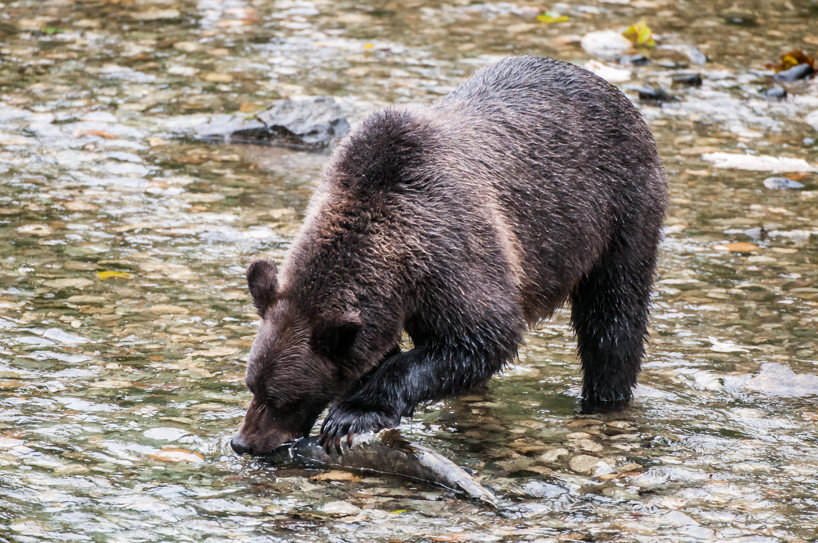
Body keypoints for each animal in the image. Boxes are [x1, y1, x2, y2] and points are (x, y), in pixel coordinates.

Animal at [230, 56, 667, 456]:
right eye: (252, 384)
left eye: (284, 397)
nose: (243, 442)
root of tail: (612, 91)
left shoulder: (454, 249)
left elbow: (485, 334)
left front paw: (351, 416)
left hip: (619, 211)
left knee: (612, 317)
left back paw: (604, 399)